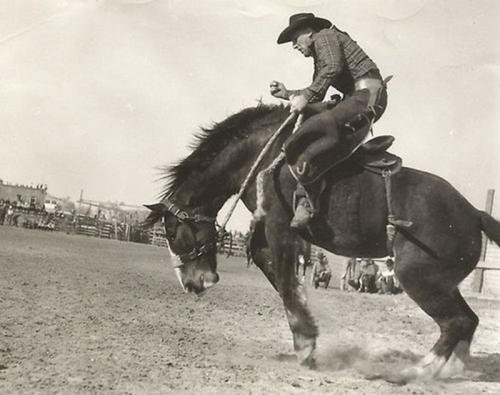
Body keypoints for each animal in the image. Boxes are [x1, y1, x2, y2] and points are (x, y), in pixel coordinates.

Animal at [145, 103, 500, 384]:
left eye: (172, 234)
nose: (191, 284)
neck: (263, 155)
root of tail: (473, 213)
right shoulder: (266, 233)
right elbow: (276, 273)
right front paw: (308, 334)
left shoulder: (280, 228)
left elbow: (286, 279)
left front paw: (305, 346)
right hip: (442, 282)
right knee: (468, 321)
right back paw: (449, 371)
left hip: (418, 277)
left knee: (456, 322)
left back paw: (415, 372)